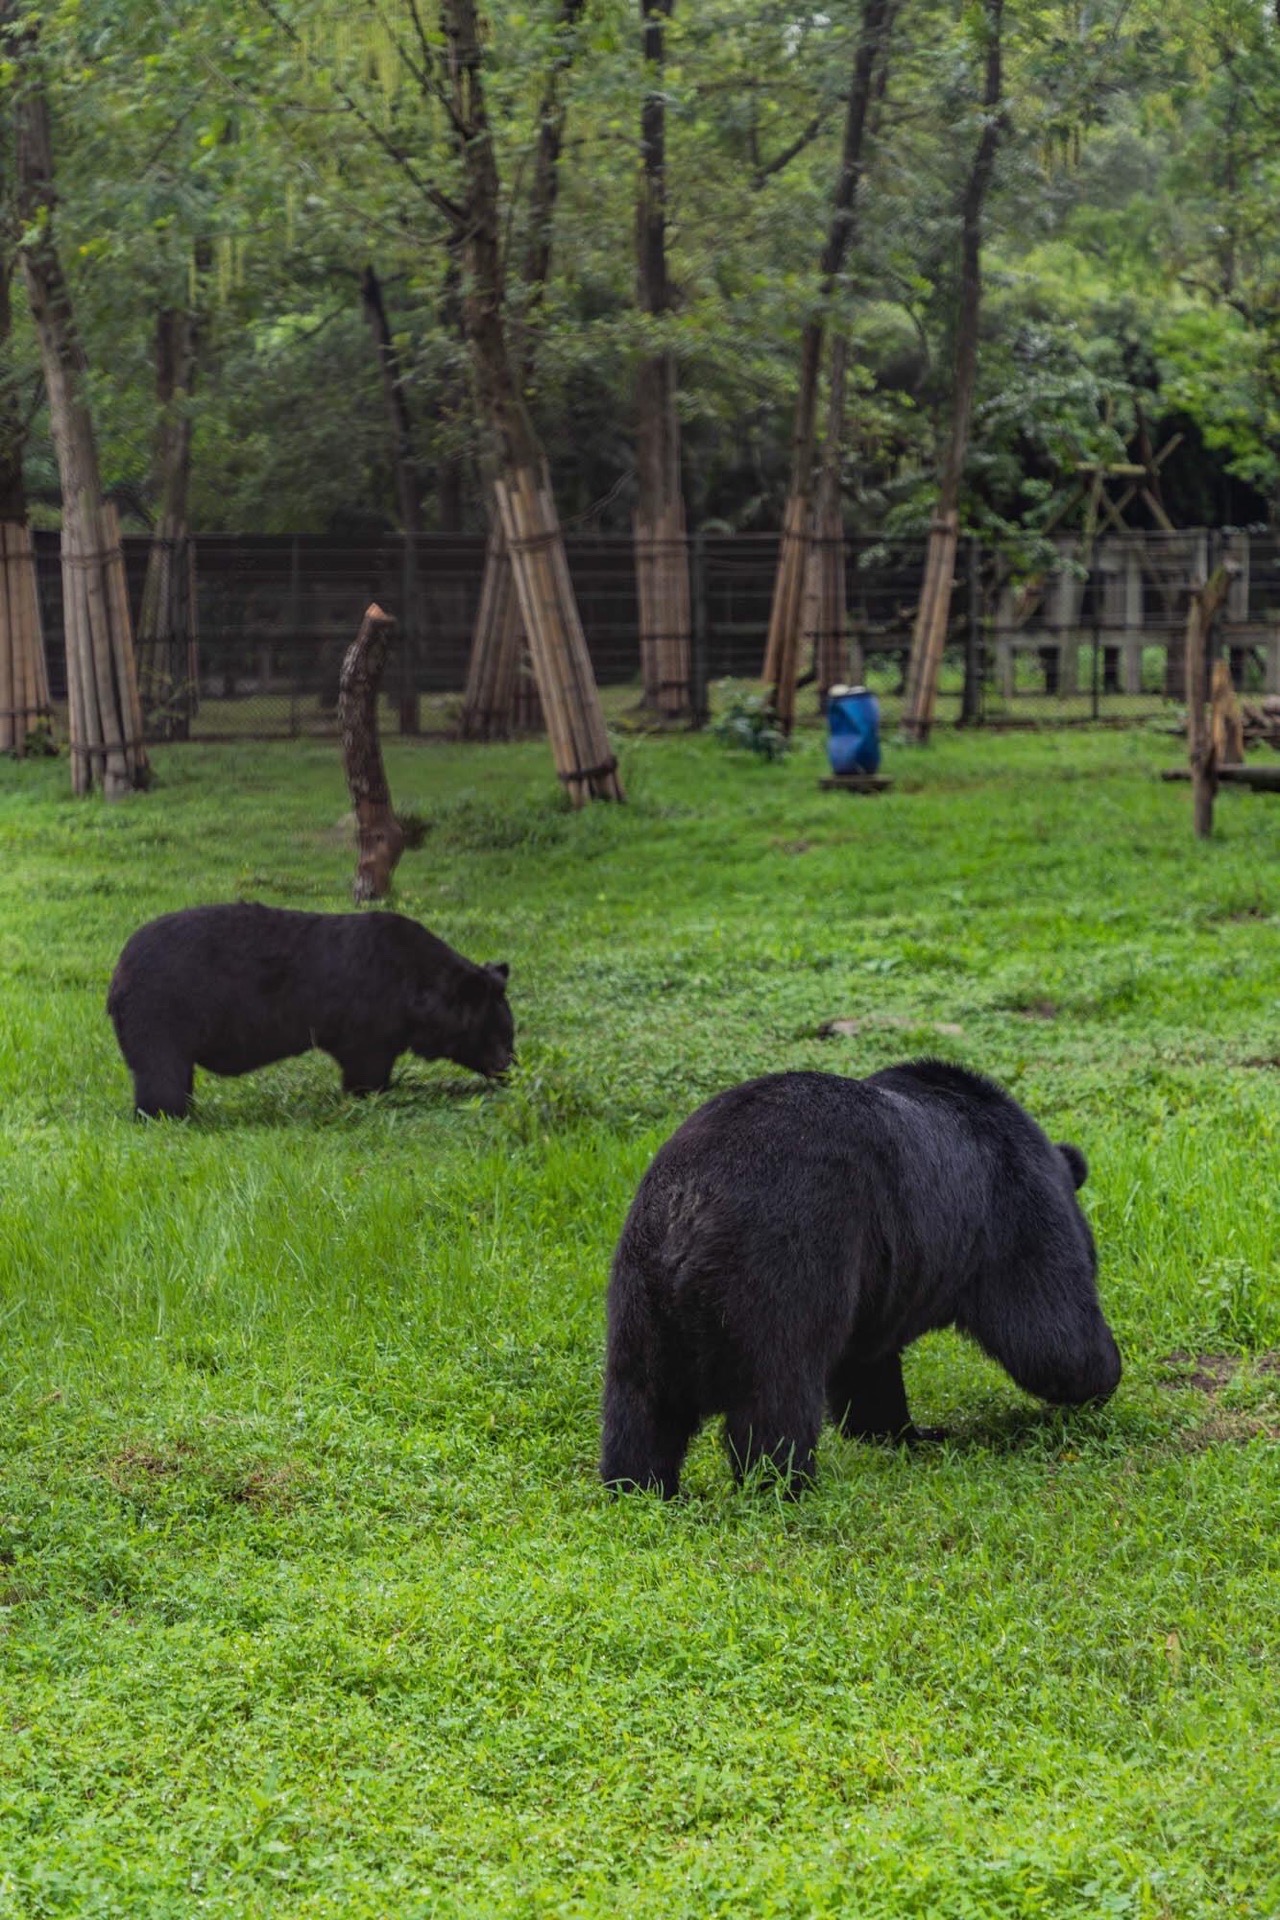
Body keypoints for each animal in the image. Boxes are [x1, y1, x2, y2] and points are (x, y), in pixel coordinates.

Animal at [107, 903, 514, 1118]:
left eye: (509, 1033)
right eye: (493, 1033)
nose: (508, 1069)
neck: (416, 986)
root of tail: (118, 973)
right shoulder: (369, 1019)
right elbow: (366, 1065)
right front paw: (368, 1097)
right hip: (161, 1013)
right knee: (161, 1072)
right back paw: (164, 1115)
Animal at [601, 1061, 1121, 1497]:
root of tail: (687, 1206)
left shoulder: (880, 1276)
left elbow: (866, 1365)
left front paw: (905, 1431)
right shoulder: (1005, 1207)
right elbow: (1047, 1327)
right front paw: (1103, 1375)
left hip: (639, 1289)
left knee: (641, 1401)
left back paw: (641, 1484)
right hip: (783, 1261)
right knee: (776, 1390)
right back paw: (786, 1482)